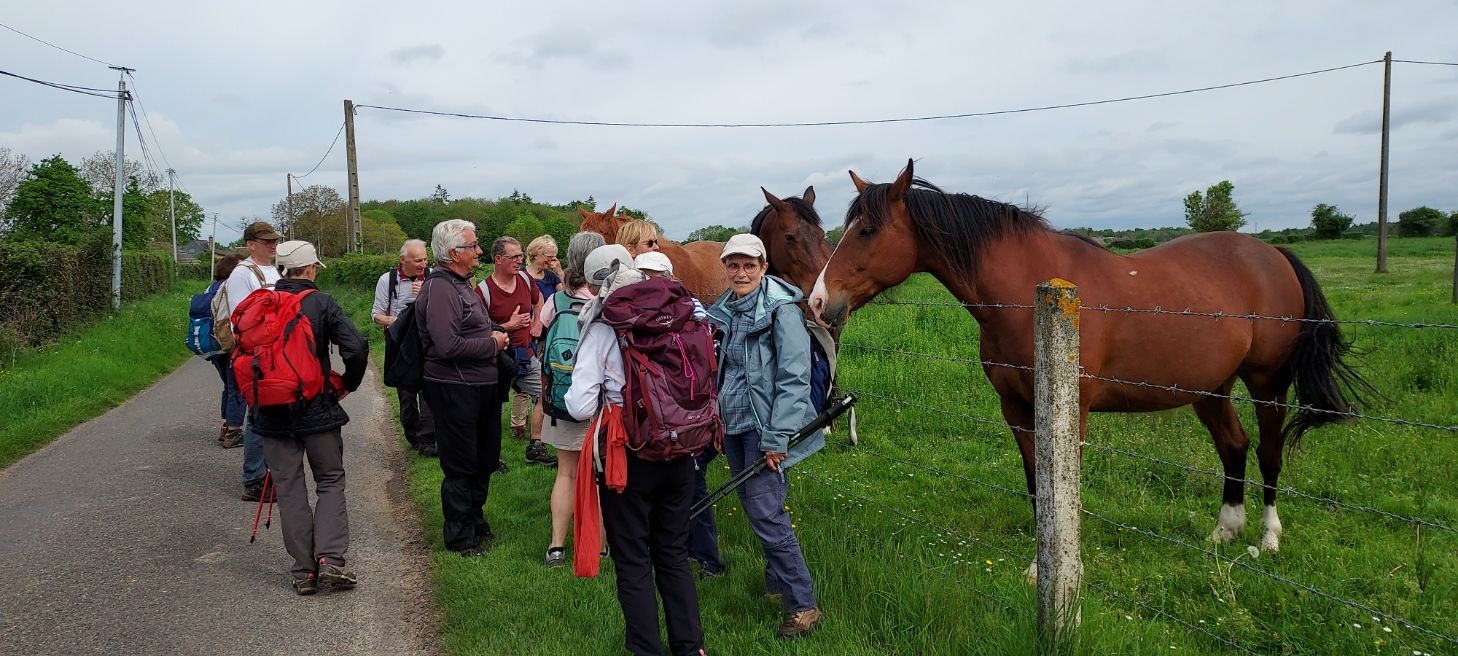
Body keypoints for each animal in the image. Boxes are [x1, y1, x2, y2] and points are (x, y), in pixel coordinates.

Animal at [810, 158, 1364, 553]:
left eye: (868, 231)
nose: (818, 301)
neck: (1029, 293)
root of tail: (1273, 256)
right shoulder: (1016, 408)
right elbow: (1037, 484)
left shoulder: (1069, 410)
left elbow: (1061, 487)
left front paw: (1049, 567)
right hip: (1209, 387)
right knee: (1235, 445)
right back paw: (1224, 531)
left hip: (1267, 383)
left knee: (1268, 451)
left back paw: (1267, 538)